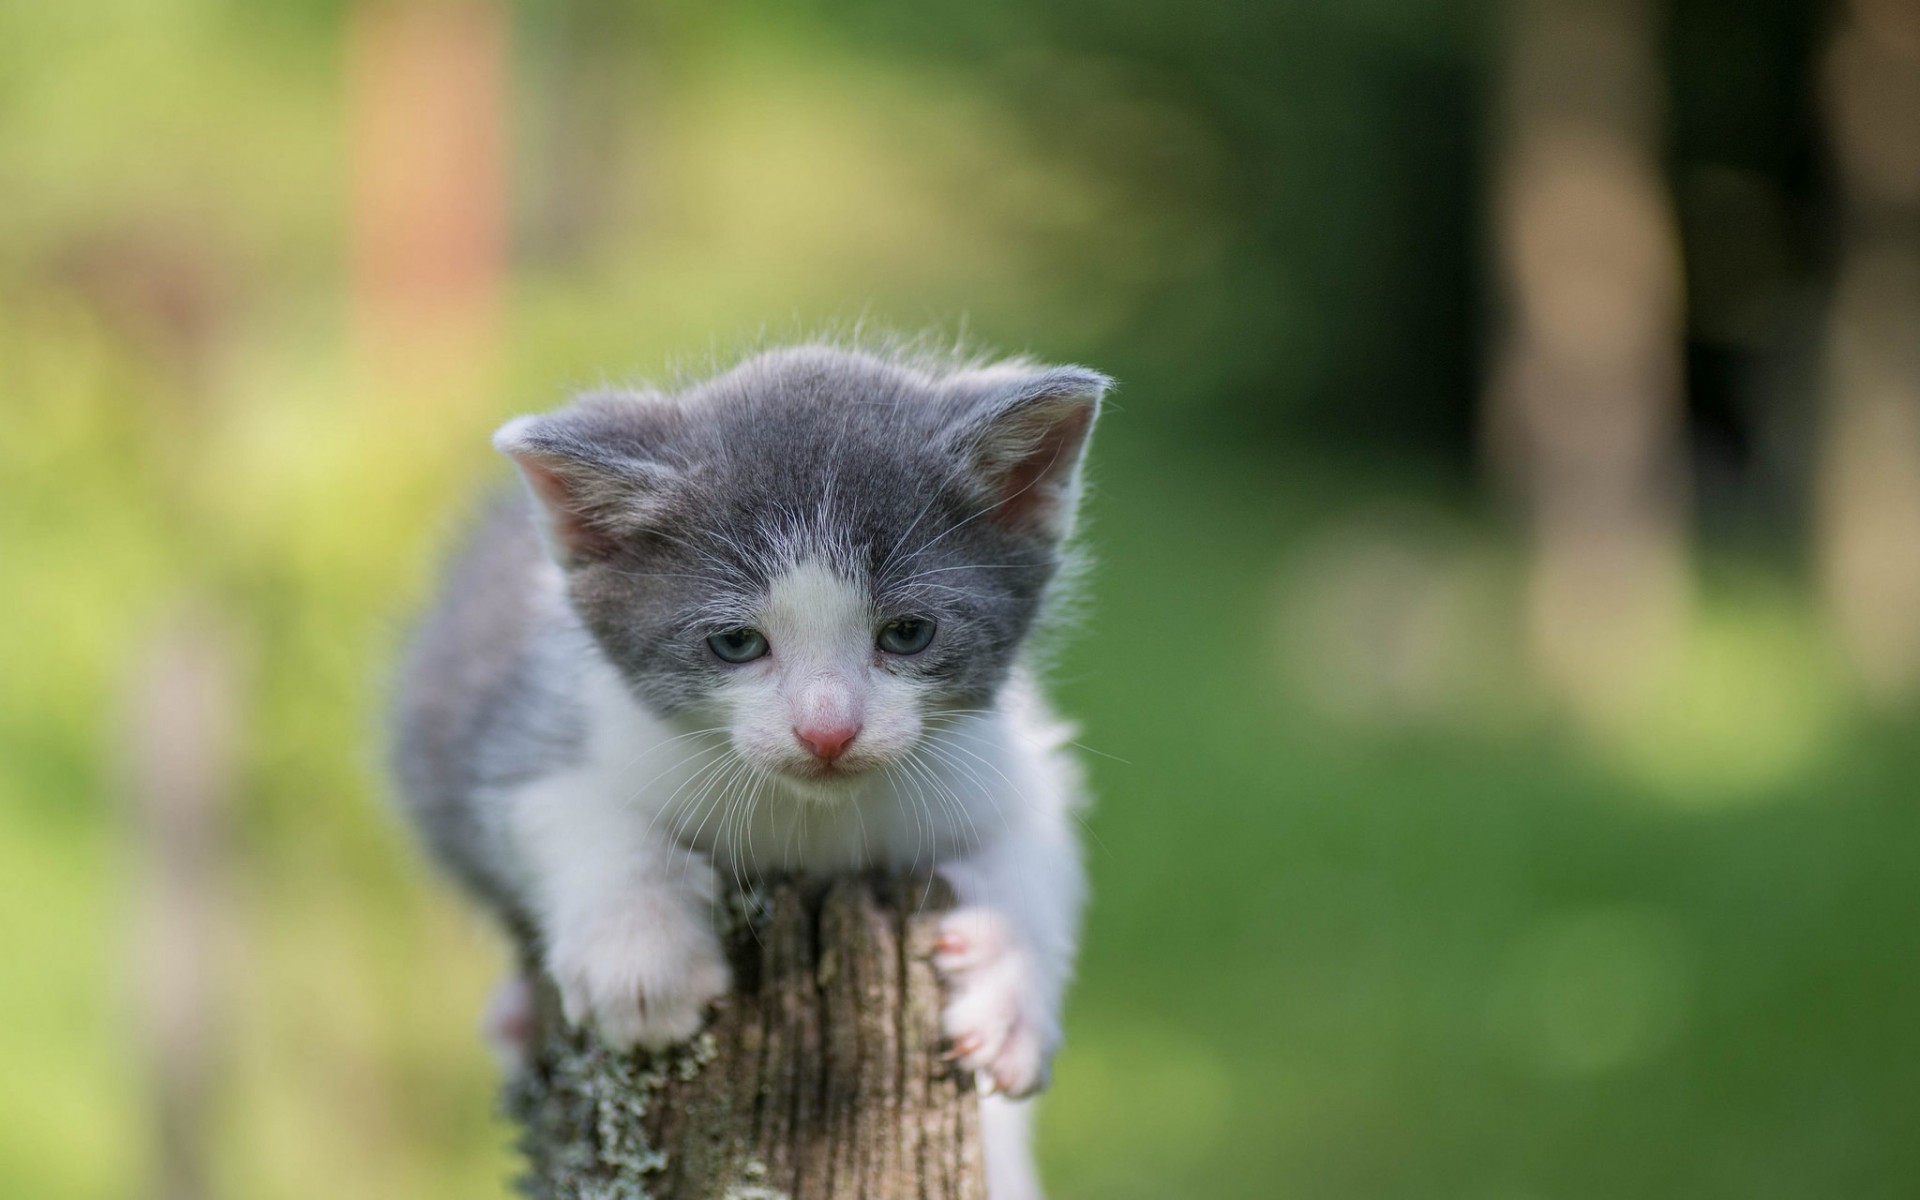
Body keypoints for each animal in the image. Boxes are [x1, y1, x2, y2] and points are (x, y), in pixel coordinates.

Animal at [389, 341, 1105, 1190]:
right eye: (736, 643)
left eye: (907, 633)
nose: (827, 731)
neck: (814, 824)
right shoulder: (529, 721)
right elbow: (562, 806)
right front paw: (642, 958)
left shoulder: (1005, 760)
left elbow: (1038, 852)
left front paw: (1009, 990)